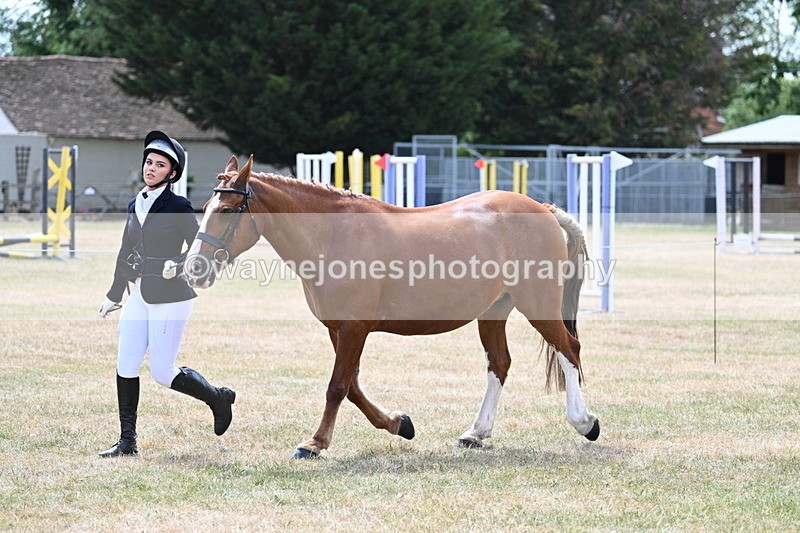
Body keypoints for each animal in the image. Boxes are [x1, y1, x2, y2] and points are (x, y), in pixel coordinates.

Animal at [186, 155, 600, 459]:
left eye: (227, 211)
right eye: (205, 206)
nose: (194, 268)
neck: (332, 235)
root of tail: (543, 209)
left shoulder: (354, 328)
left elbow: (337, 386)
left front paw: (315, 443)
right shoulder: (339, 329)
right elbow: (352, 387)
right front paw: (400, 424)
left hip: (537, 305)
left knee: (569, 349)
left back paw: (585, 422)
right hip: (493, 312)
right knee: (499, 364)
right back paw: (475, 433)